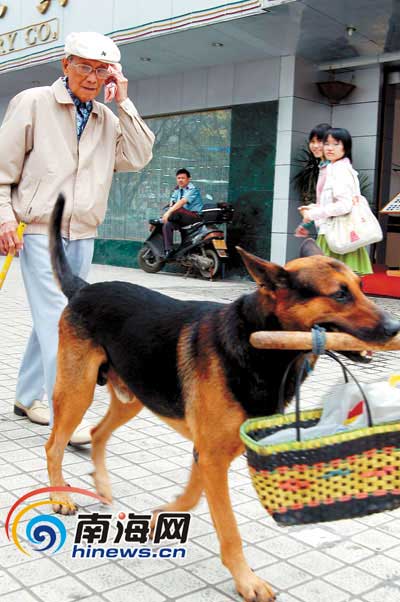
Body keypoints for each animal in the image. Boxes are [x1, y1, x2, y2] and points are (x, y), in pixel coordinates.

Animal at [47, 195, 400, 596]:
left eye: (361, 286)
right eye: (340, 294)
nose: (394, 328)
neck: (260, 345)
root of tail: (82, 287)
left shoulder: (211, 453)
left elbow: (192, 495)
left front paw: (159, 516)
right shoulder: (213, 455)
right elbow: (227, 526)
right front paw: (246, 580)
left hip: (133, 397)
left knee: (96, 433)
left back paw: (103, 486)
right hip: (78, 392)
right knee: (54, 445)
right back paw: (60, 496)